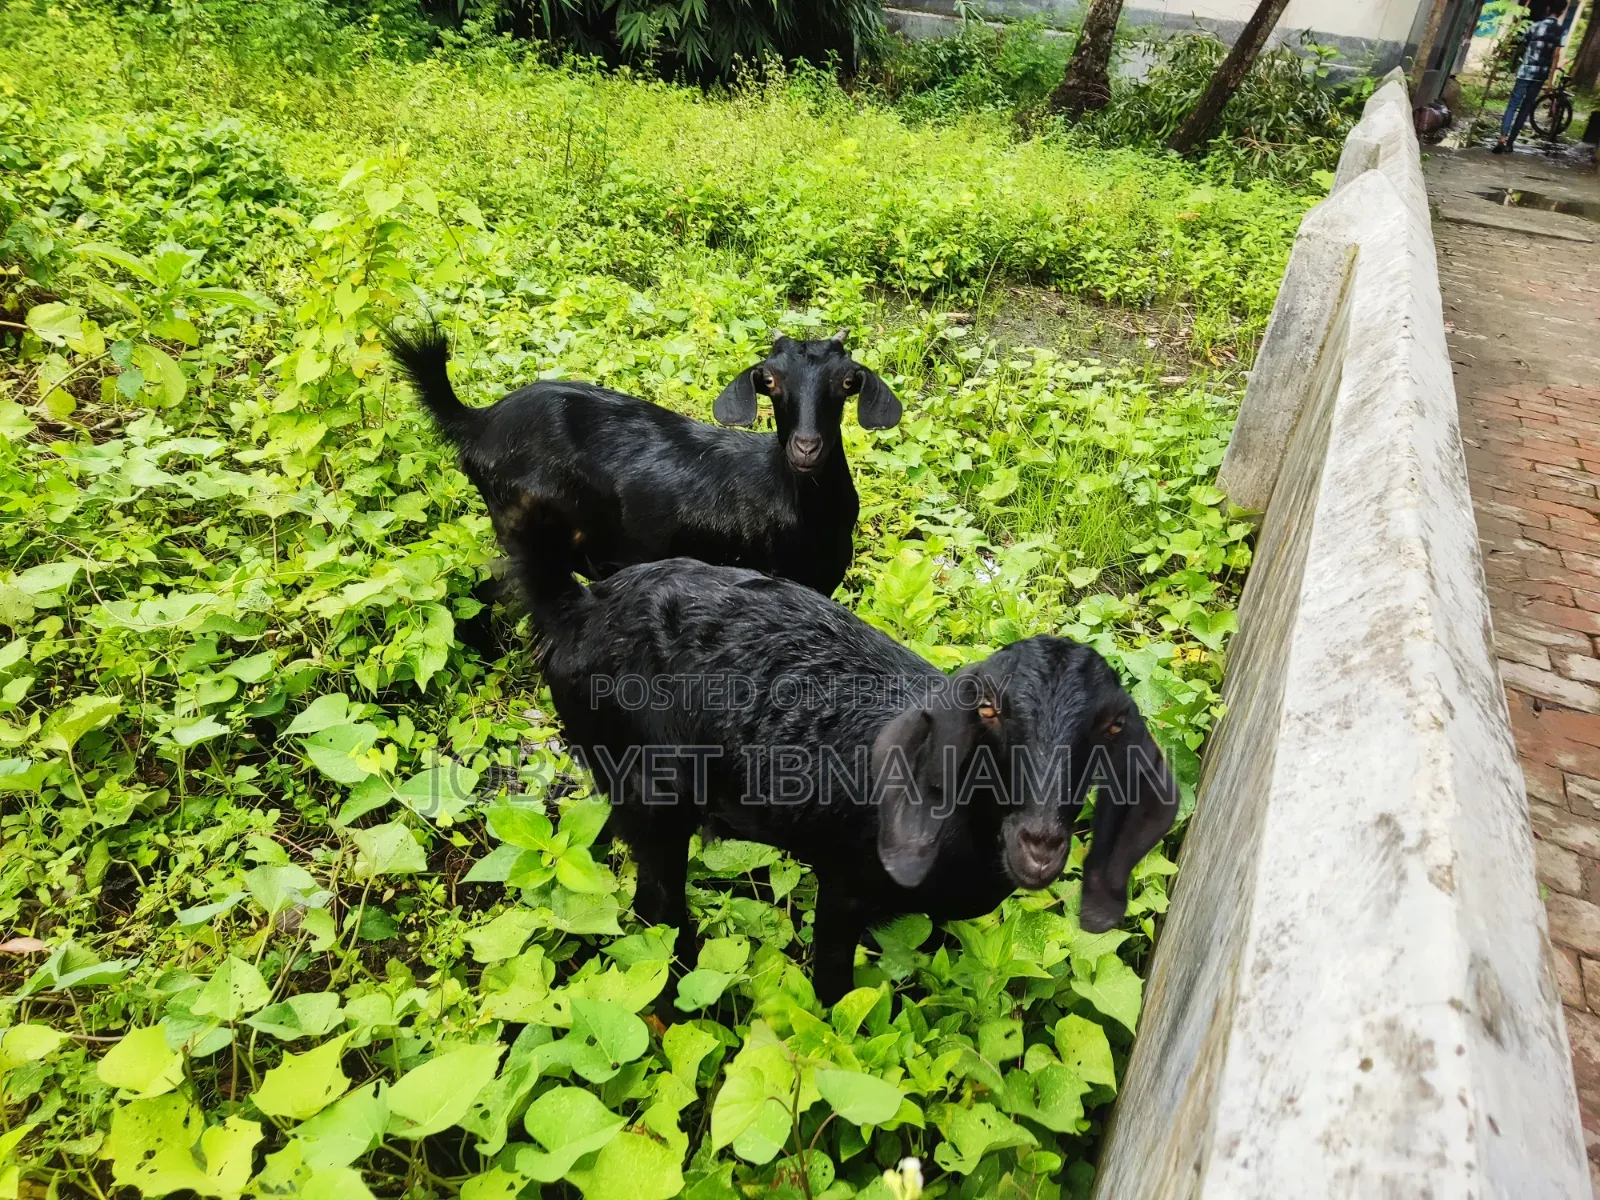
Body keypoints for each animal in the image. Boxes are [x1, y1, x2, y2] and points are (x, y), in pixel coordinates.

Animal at [508, 509, 1179, 1005]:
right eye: (988, 710)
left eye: (1112, 726)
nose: (1039, 844)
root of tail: (577, 609)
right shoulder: (846, 883)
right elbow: (835, 986)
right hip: (643, 784)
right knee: (658, 905)